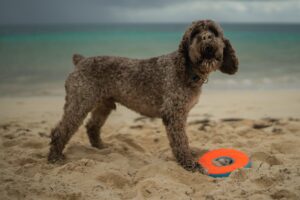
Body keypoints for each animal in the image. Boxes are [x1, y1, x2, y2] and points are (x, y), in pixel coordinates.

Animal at [47, 19, 239, 172]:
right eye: (194, 34)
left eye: (214, 32)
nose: (206, 37)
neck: (186, 69)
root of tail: (81, 60)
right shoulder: (174, 114)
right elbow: (180, 141)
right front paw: (189, 163)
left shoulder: (181, 114)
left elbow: (183, 140)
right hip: (79, 103)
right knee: (60, 130)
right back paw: (55, 157)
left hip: (103, 104)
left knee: (92, 126)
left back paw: (101, 147)